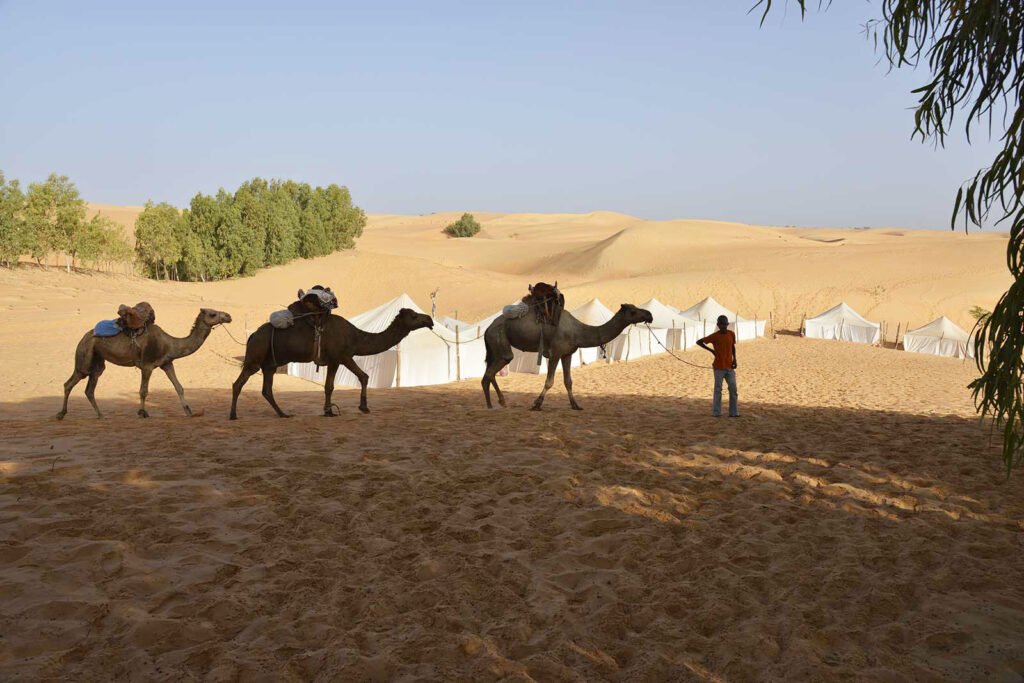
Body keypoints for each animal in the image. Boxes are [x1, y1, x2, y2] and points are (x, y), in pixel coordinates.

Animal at [57, 308, 233, 420]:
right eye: (212, 314)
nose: (228, 316)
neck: (169, 344)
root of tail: (84, 337)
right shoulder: (147, 365)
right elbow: (143, 391)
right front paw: (142, 412)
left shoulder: (167, 363)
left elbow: (179, 387)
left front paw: (189, 412)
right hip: (85, 356)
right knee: (70, 382)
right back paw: (61, 414)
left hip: (98, 362)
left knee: (90, 388)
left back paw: (100, 415)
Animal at [229, 307, 434, 419]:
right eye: (414, 316)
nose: (430, 319)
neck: (356, 337)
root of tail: (252, 335)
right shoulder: (341, 357)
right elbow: (350, 380)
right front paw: (361, 407)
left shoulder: (335, 360)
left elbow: (338, 383)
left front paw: (329, 411)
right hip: (255, 358)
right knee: (238, 383)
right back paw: (233, 415)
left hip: (270, 365)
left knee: (266, 389)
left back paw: (283, 414)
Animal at [482, 303, 653, 410]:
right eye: (633, 311)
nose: (649, 315)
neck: (577, 331)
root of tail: (487, 328)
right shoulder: (556, 353)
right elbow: (549, 381)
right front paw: (536, 404)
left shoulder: (567, 354)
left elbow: (568, 381)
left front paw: (576, 405)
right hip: (499, 339)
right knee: (495, 368)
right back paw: (493, 405)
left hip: (495, 346)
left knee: (489, 374)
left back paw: (496, 403)